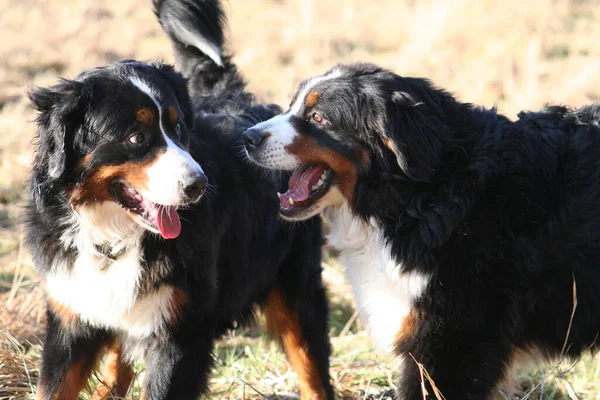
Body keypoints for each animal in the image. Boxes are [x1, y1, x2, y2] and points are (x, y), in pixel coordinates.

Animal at [27, 0, 332, 400]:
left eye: (178, 127)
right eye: (137, 137)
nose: (198, 185)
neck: (116, 238)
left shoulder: (181, 331)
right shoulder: (71, 316)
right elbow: (55, 386)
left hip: (294, 286)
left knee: (312, 366)